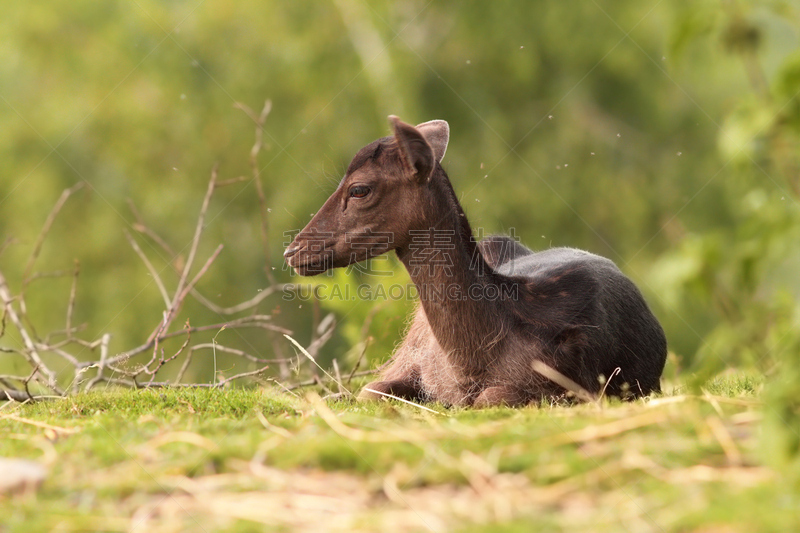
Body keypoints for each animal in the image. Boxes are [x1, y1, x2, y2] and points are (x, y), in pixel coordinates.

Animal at [284, 117, 664, 408]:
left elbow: (490, 398)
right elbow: (369, 390)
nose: (293, 251)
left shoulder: (570, 377)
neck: (467, 365)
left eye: (359, 189)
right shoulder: (410, 359)